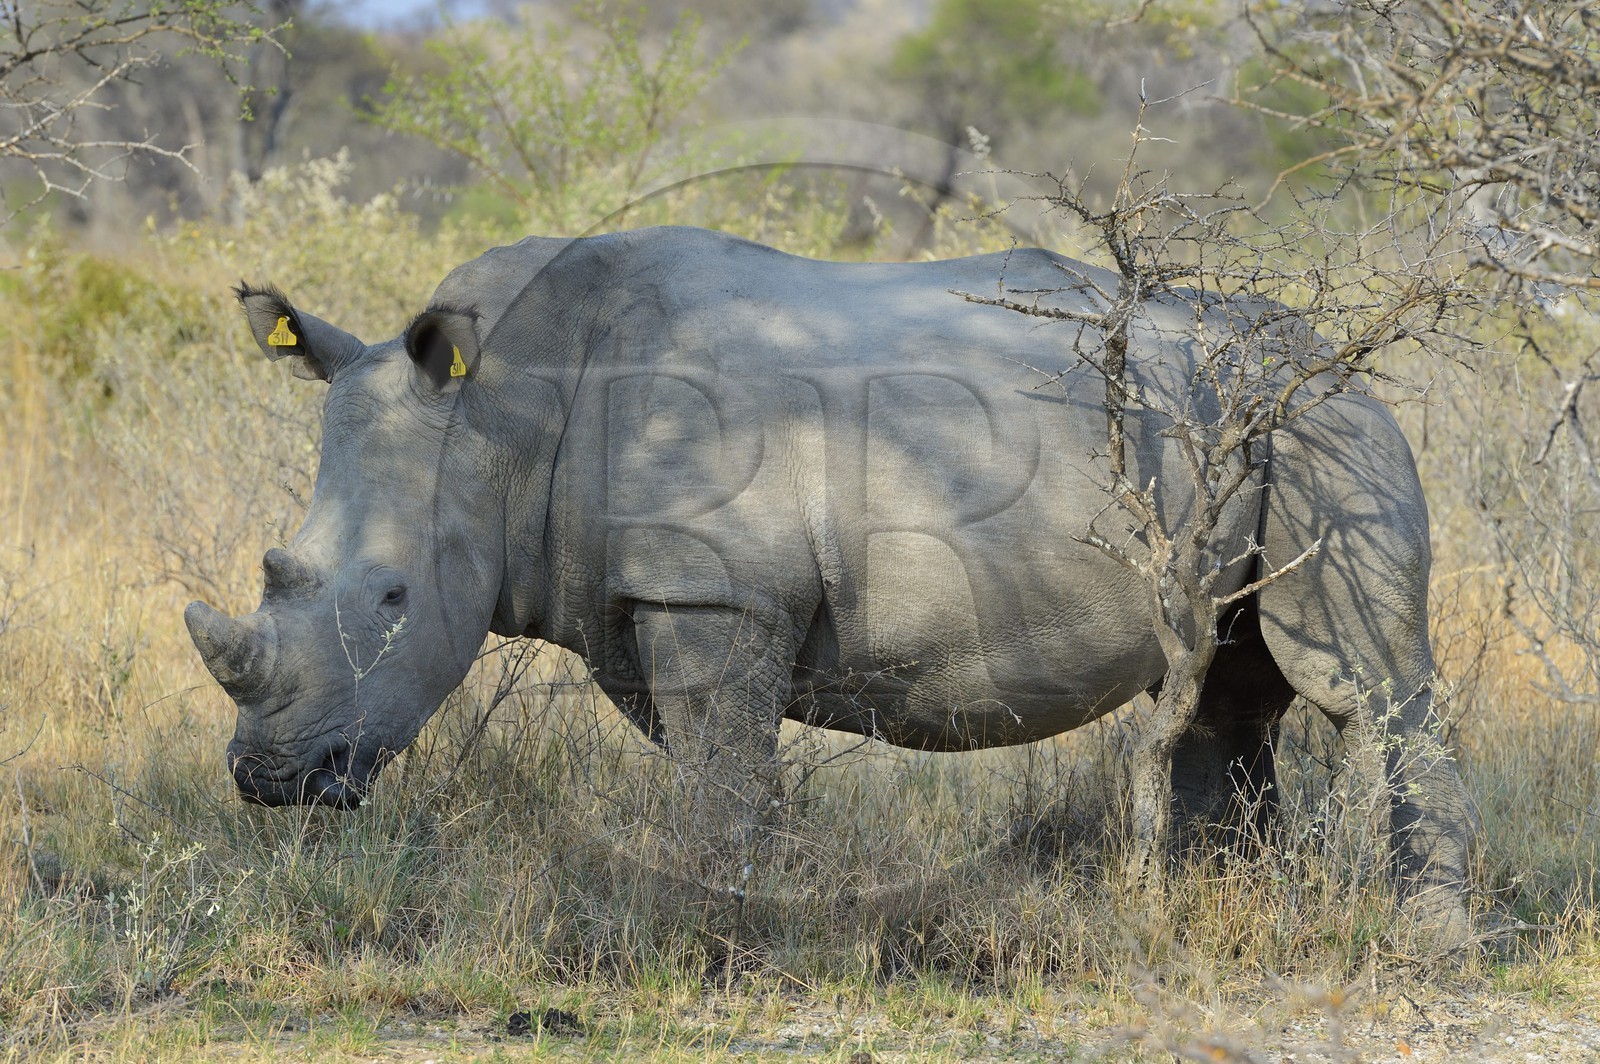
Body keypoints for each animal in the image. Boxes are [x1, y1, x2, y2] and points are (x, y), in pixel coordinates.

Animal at [187, 226, 1475, 916]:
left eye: (392, 597)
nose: (269, 778)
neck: (502, 413)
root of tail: (1338, 354)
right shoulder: (642, 593)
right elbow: (721, 760)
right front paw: (767, 892)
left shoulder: (710, 586)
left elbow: (717, 764)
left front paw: (717, 917)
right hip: (1244, 431)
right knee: (1233, 686)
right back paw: (1214, 905)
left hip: (1322, 431)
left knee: (1354, 679)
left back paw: (1425, 939)